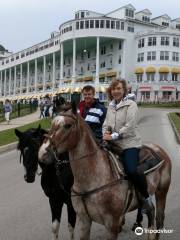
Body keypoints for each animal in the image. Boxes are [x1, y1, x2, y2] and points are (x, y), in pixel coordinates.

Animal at [39, 105, 172, 240]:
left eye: (67, 125)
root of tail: (157, 149)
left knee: (158, 218)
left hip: (162, 192)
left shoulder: (111, 225)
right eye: (52, 123)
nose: (44, 153)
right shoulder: (84, 220)